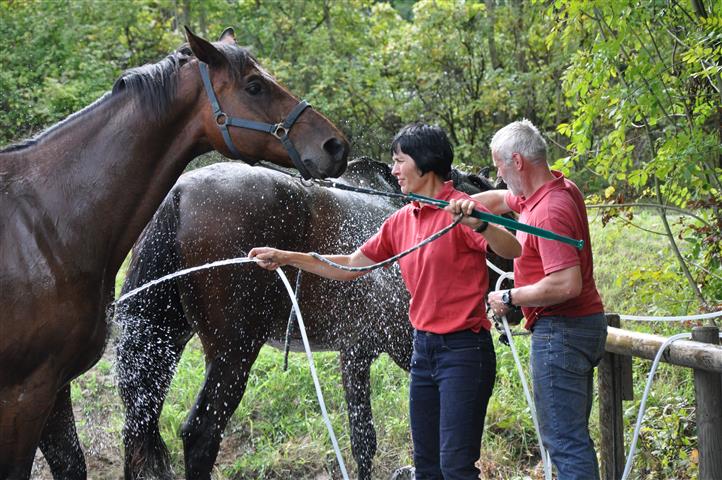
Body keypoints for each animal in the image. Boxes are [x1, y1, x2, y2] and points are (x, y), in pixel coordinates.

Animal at [115, 156, 516, 478]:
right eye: (508, 219)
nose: (512, 304)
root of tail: (178, 194)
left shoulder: (355, 354)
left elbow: (363, 441)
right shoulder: (396, 347)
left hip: (162, 345)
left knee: (136, 434)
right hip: (233, 354)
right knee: (201, 434)